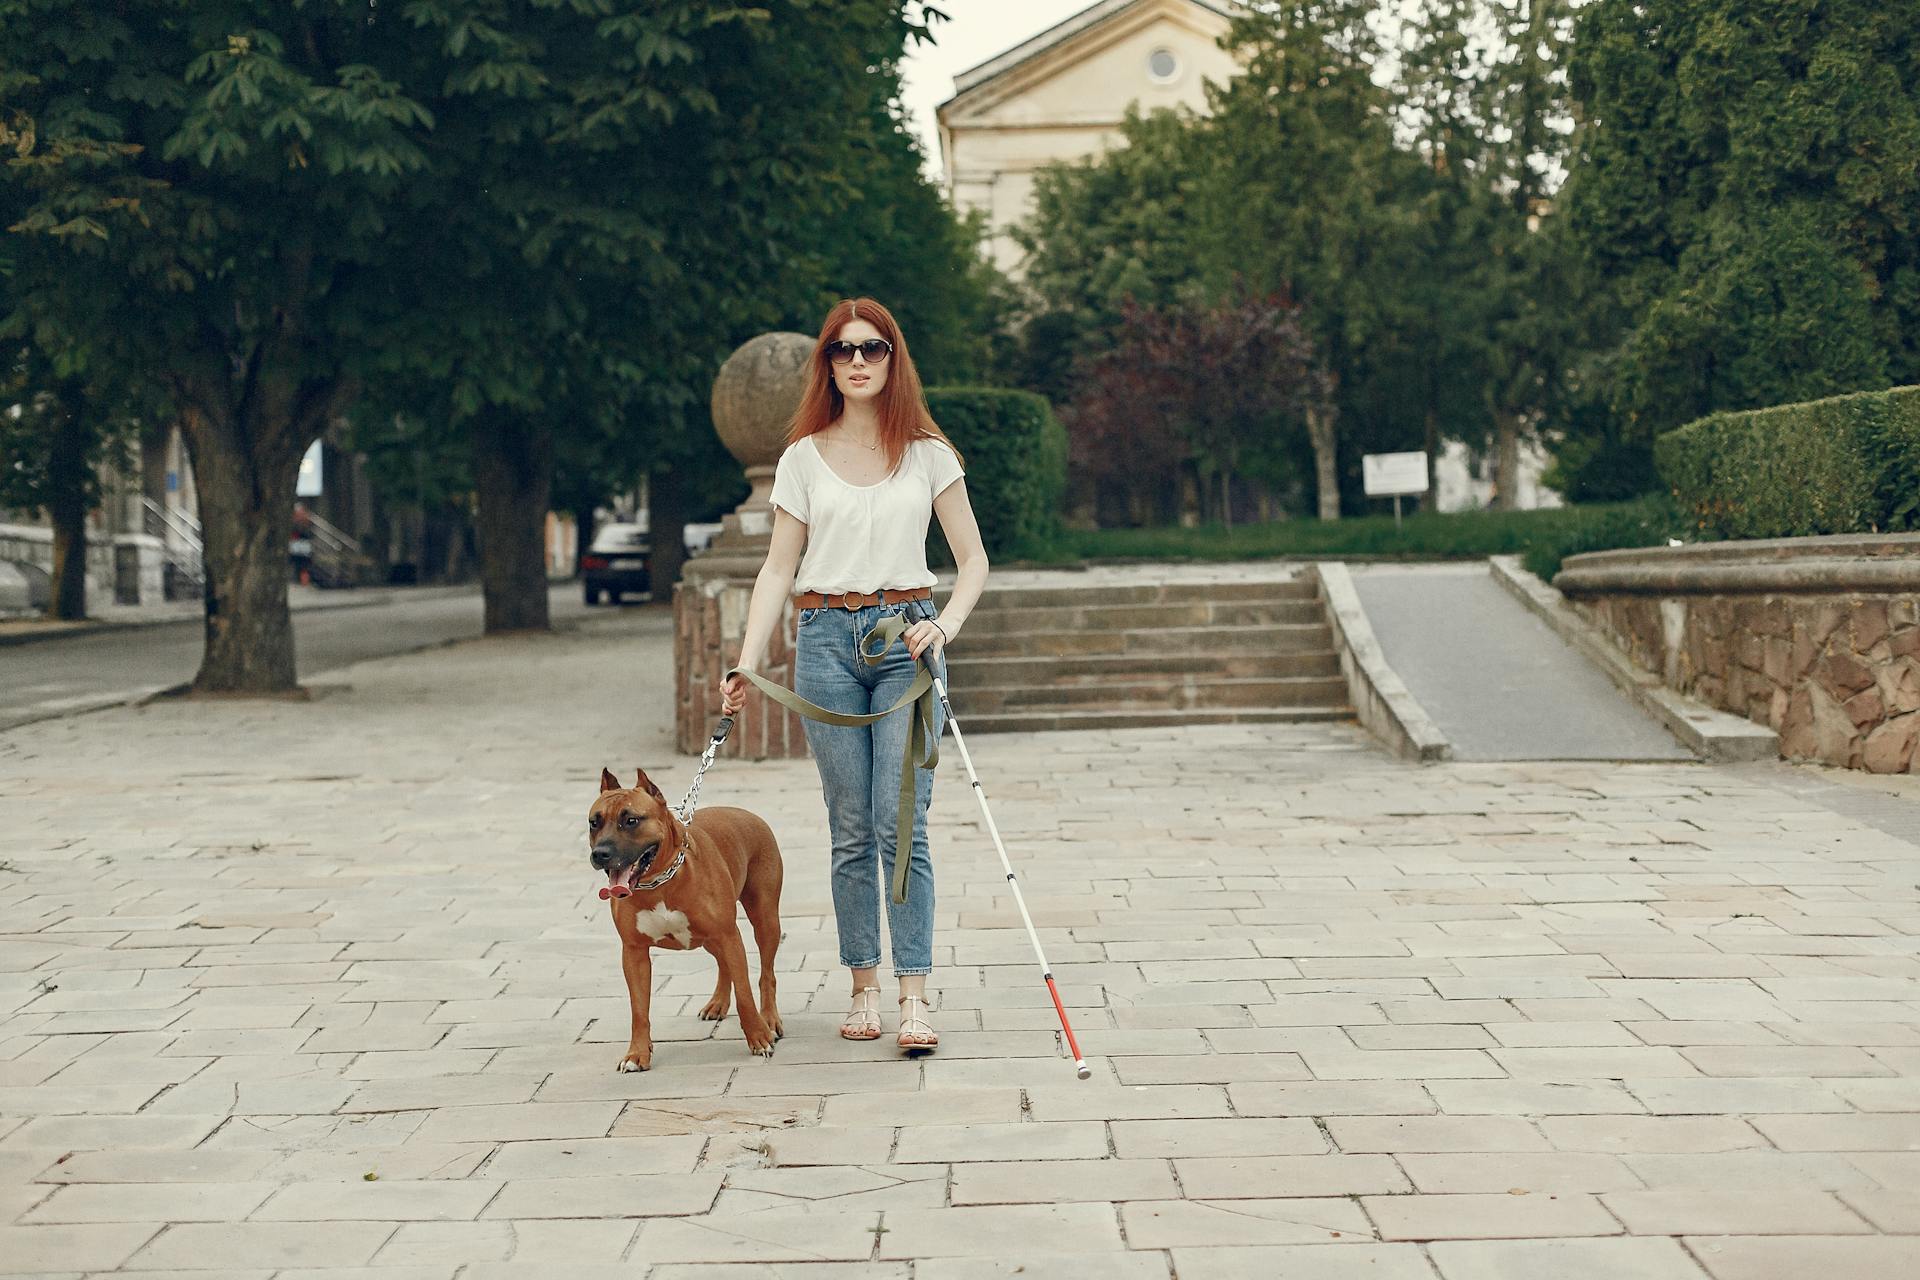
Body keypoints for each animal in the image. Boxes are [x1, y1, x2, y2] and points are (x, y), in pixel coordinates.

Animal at [591, 771, 787, 1074]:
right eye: (594, 823)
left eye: (631, 820)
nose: (600, 853)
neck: (659, 882)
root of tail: (747, 813)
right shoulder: (634, 952)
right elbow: (639, 1010)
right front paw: (637, 1053)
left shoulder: (728, 934)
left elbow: (745, 995)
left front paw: (758, 1037)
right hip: (708, 939)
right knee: (724, 965)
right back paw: (718, 1003)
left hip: (764, 920)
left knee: (766, 973)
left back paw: (768, 1018)